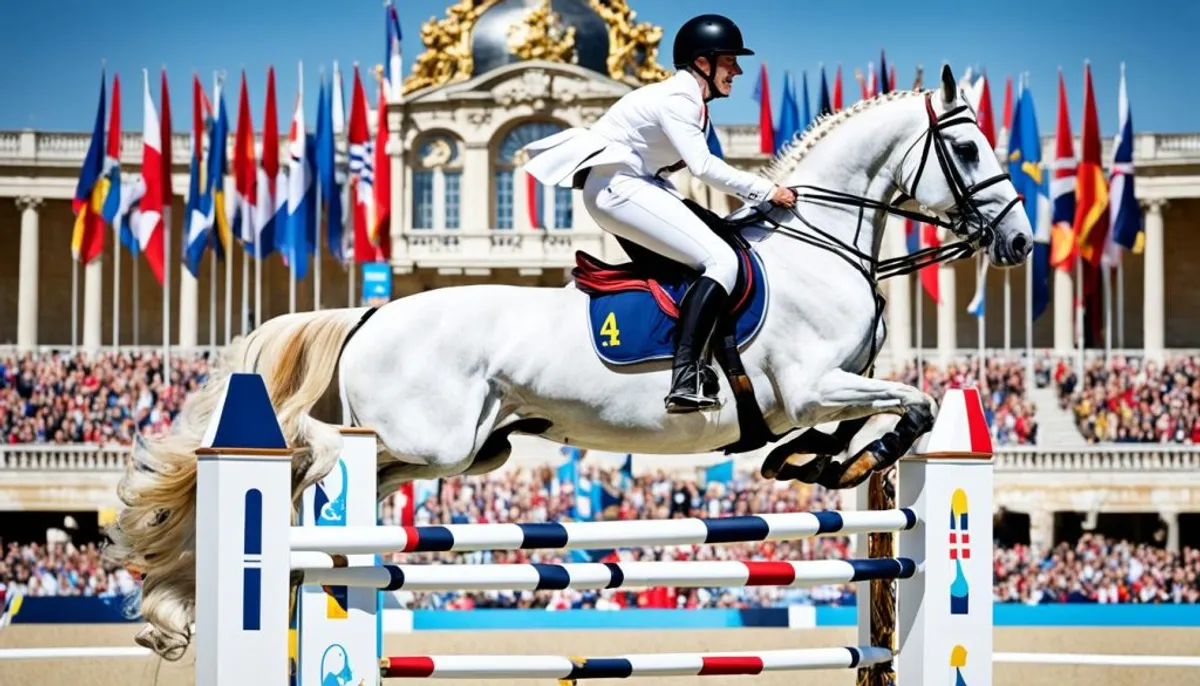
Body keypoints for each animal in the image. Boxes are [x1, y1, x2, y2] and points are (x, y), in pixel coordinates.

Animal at [105, 64, 1032, 657]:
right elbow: (910, 406)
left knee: (323, 483)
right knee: (311, 448)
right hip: (428, 439)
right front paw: (842, 461)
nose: (1021, 242)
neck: (820, 247)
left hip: (466, 451)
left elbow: (886, 415)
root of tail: (374, 310)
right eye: (970, 151)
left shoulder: (824, 392)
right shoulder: (811, 388)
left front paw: (817, 465)